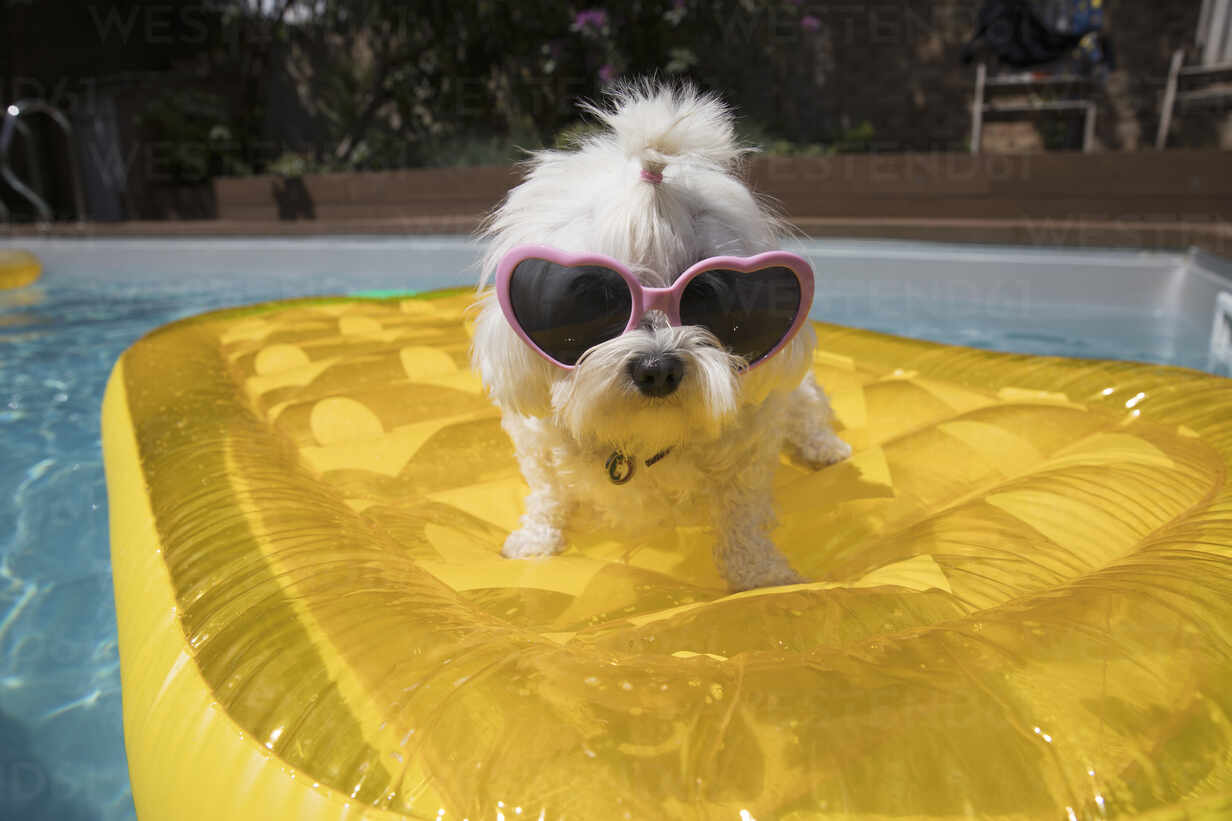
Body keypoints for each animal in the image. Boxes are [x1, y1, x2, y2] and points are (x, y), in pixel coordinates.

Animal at [468, 83, 847, 589]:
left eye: (709, 294)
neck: (642, 435)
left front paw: (758, 574)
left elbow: (742, 515)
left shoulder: (749, 449)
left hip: (797, 392)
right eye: (593, 300)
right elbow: (548, 494)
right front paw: (536, 541)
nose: (657, 370)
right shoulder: (539, 444)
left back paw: (825, 448)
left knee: (809, 414)